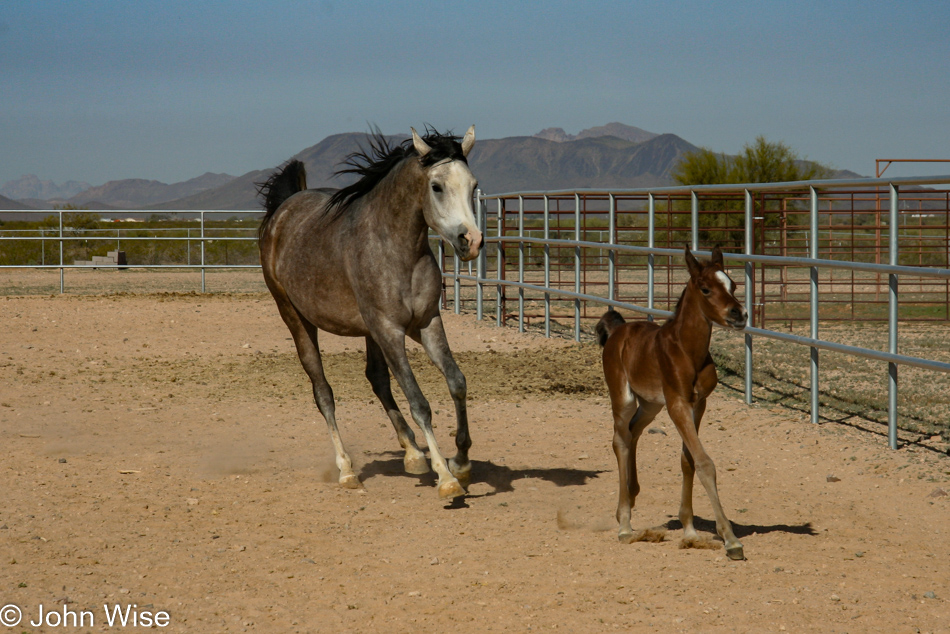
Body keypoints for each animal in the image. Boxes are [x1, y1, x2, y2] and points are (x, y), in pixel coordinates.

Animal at [258, 124, 484, 498]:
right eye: (436, 186)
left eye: (473, 184)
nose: (472, 242)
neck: (396, 249)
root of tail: (282, 212)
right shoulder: (389, 329)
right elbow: (419, 402)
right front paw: (447, 478)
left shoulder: (425, 323)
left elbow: (457, 382)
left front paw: (462, 462)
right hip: (296, 318)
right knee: (323, 393)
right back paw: (347, 470)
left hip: (368, 331)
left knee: (377, 379)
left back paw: (412, 453)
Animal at [600, 246, 748, 556]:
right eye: (705, 288)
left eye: (733, 286)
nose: (739, 314)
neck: (687, 351)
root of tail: (619, 331)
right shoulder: (677, 403)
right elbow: (704, 462)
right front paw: (730, 539)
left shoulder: (698, 404)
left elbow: (687, 460)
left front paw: (690, 530)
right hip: (623, 397)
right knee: (620, 440)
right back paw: (624, 524)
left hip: (651, 404)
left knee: (633, 431)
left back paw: (631, 496)